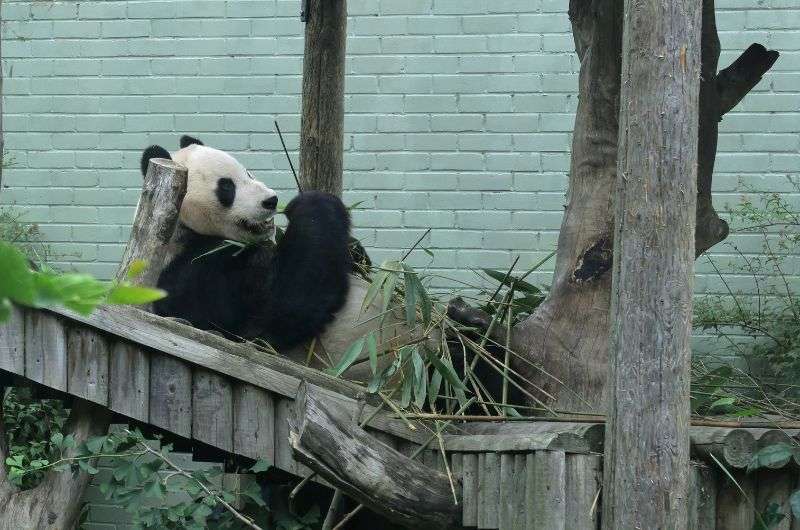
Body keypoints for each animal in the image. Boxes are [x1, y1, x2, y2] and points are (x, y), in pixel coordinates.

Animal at [140, 134, 410, 378]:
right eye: (226, 187)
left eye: (248, 173)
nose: (271, 200)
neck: (185, 228)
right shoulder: (203, 268)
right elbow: (280, 311)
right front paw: (310, 203)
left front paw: (355, 250)